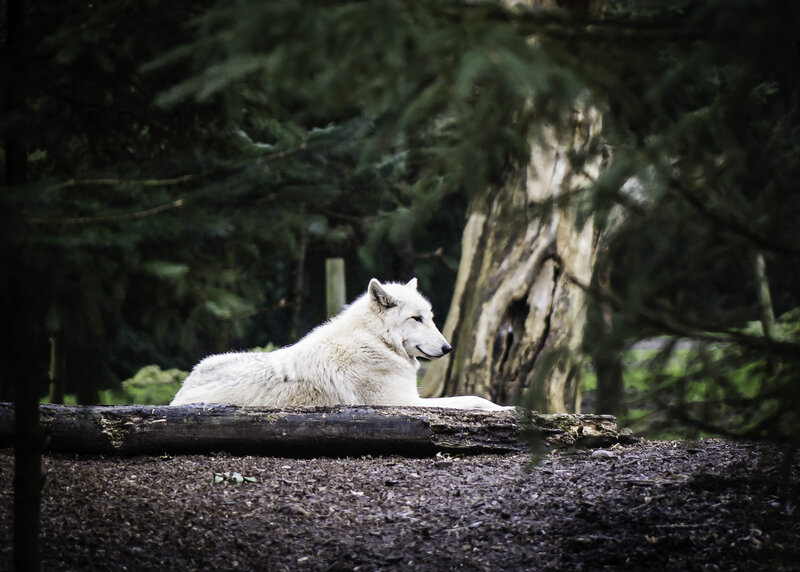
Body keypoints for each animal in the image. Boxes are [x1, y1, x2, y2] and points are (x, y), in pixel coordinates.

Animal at [170, 278, 506, 410]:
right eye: (417, 318)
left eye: (431, 318)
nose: (448, 349)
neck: (376, 340)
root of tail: (177, 395)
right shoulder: (408, 403)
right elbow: (472, 400)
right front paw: (506, 408)